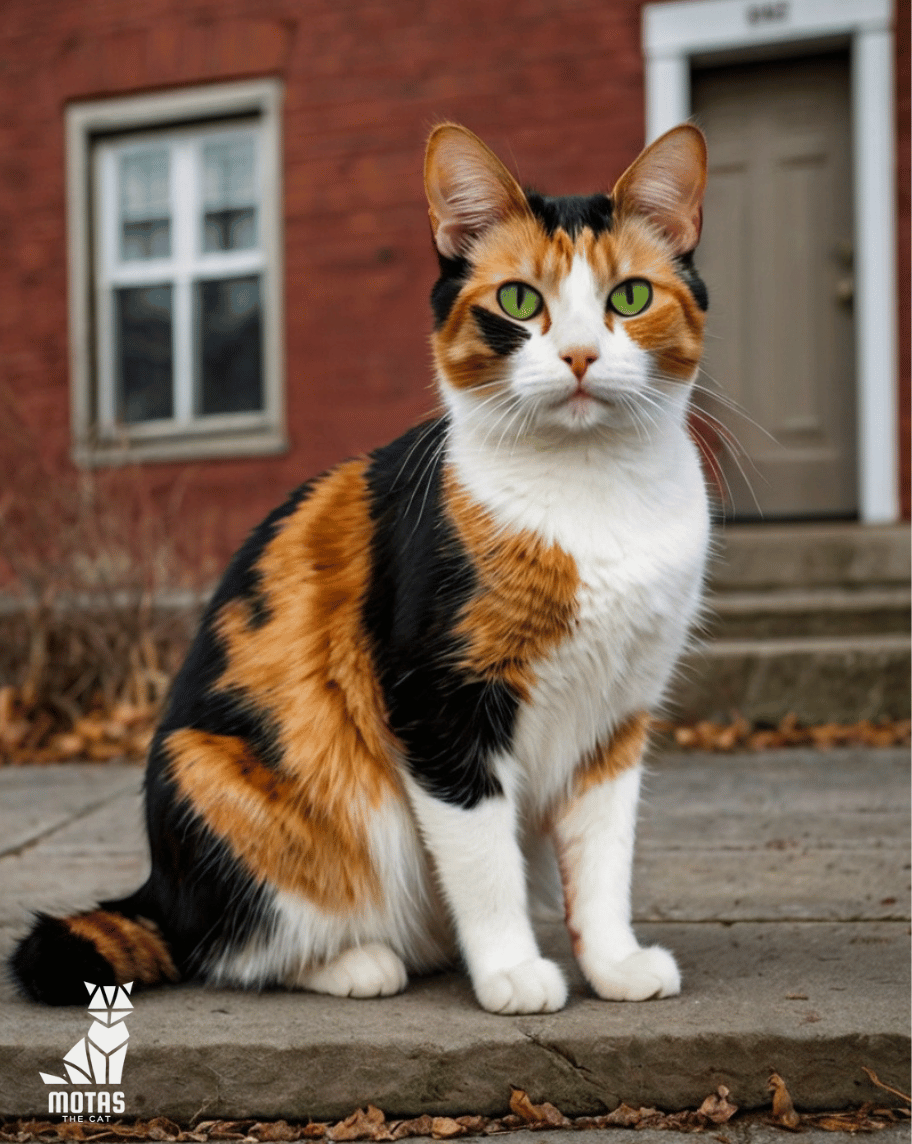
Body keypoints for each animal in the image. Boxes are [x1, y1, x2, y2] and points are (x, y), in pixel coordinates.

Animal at [8, 125, 709, 1015]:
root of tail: (161, 890)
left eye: (630, 297)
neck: (593, 497)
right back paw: (360, 963)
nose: (582, 355)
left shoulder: (617, 714)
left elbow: (604, 856)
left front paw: (616, 964)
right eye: (520, 301)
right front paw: (512, 973)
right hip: (217, 774)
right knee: (233, 948)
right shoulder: (439, 702)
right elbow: (485, 859)